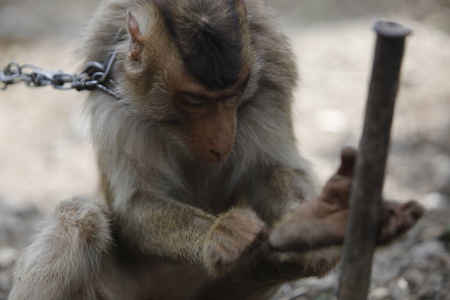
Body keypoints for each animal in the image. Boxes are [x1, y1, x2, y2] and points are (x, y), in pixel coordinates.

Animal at [7, 0, 424, 300]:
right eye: (193, 101)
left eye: (234, 94)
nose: (221, 142)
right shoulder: (112, 95)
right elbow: (135, 202)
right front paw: (218, 233)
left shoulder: (272, 73)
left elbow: (272, 169)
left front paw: (316, 220)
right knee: (77, 222)